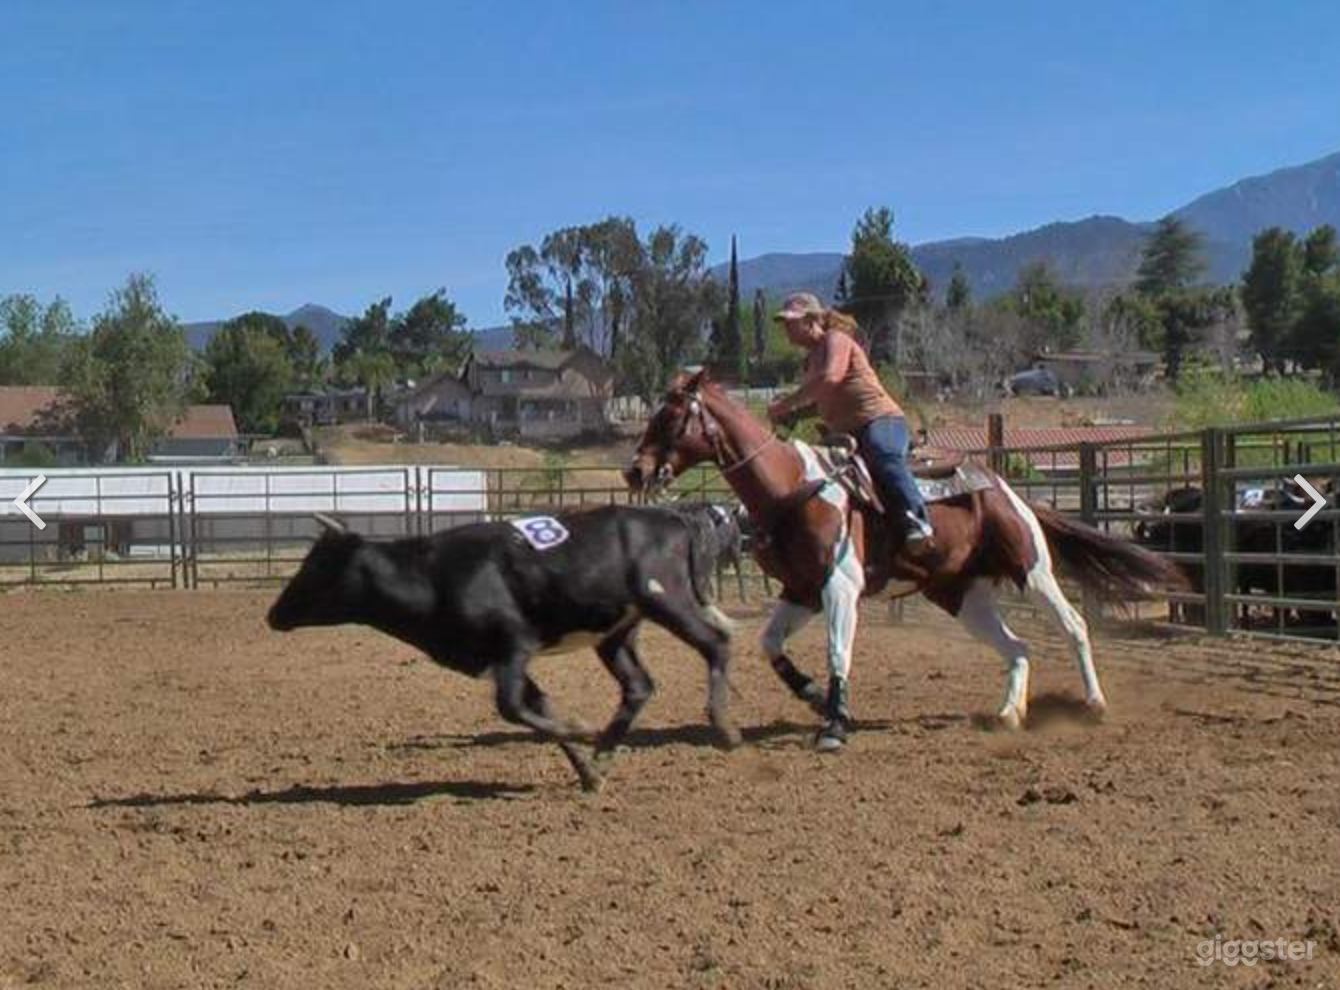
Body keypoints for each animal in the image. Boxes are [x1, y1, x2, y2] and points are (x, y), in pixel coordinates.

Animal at [625, 371, 1186, 749]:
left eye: (670, 415)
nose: (635, 471)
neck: (791, 486)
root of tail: (1005, 489)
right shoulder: (802, 591)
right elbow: (770, 644)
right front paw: (812, 695)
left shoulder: (840, 587)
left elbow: (838, 652)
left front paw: (834, 726)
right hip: (960, 595)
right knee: (1017, 647)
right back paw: (1008, 713)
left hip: (1032, 570)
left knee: (1073, 625)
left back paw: (1093, 704)